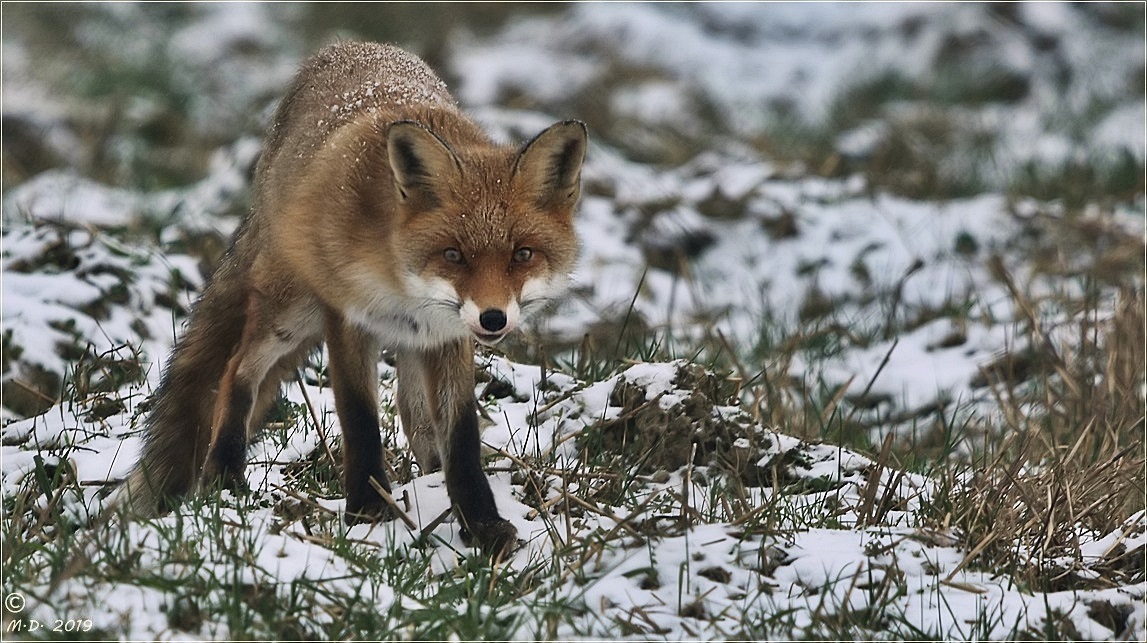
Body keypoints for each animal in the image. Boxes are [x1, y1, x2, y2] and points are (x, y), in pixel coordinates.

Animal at [119, 41, 587, 557]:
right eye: (453, 255)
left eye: (522, 254)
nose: (492, 318)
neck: (401, 281)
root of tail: (344, 47)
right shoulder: (346, 318)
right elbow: (360, 420)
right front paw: (367, 511)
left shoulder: (445, 333)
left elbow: (461, 436)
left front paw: (481, 524)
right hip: (293, 310)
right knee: (237, 369)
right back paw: (225, 472)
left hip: (408, 344)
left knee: (413, 414)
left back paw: (428, 479)